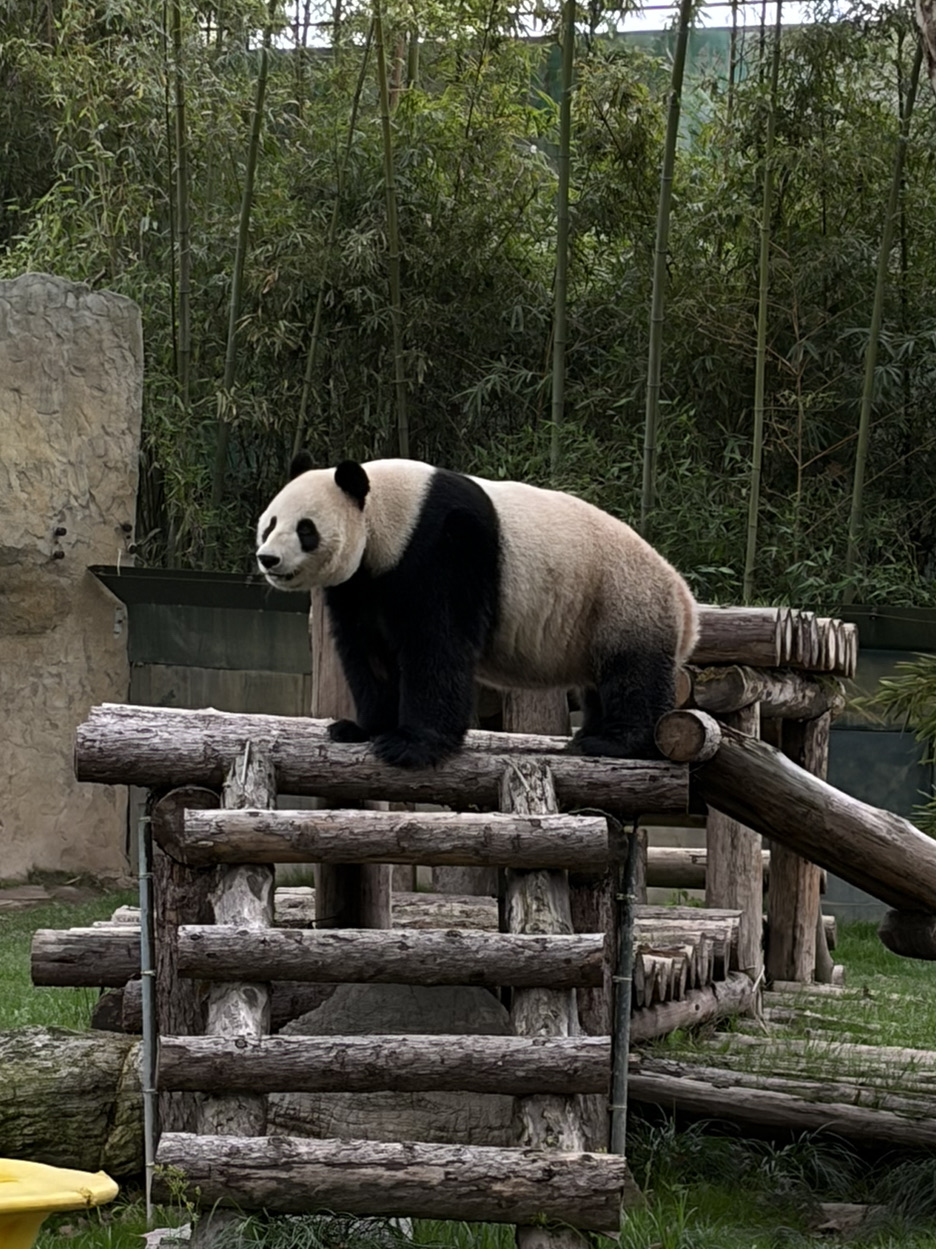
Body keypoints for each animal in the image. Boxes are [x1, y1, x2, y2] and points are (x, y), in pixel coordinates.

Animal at [256, 453, 699, 770]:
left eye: (306, 529)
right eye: (270, 524)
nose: (268, 559)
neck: (388, 512)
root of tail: (685, 599)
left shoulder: (443, 545)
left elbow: (437, 644)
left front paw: (409, 745)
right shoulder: (363, 582)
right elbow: (367, 649)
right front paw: (361, 728)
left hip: (624, 600)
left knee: (632, 675)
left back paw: (614, 741)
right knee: (598, 683)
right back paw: (587, 734)